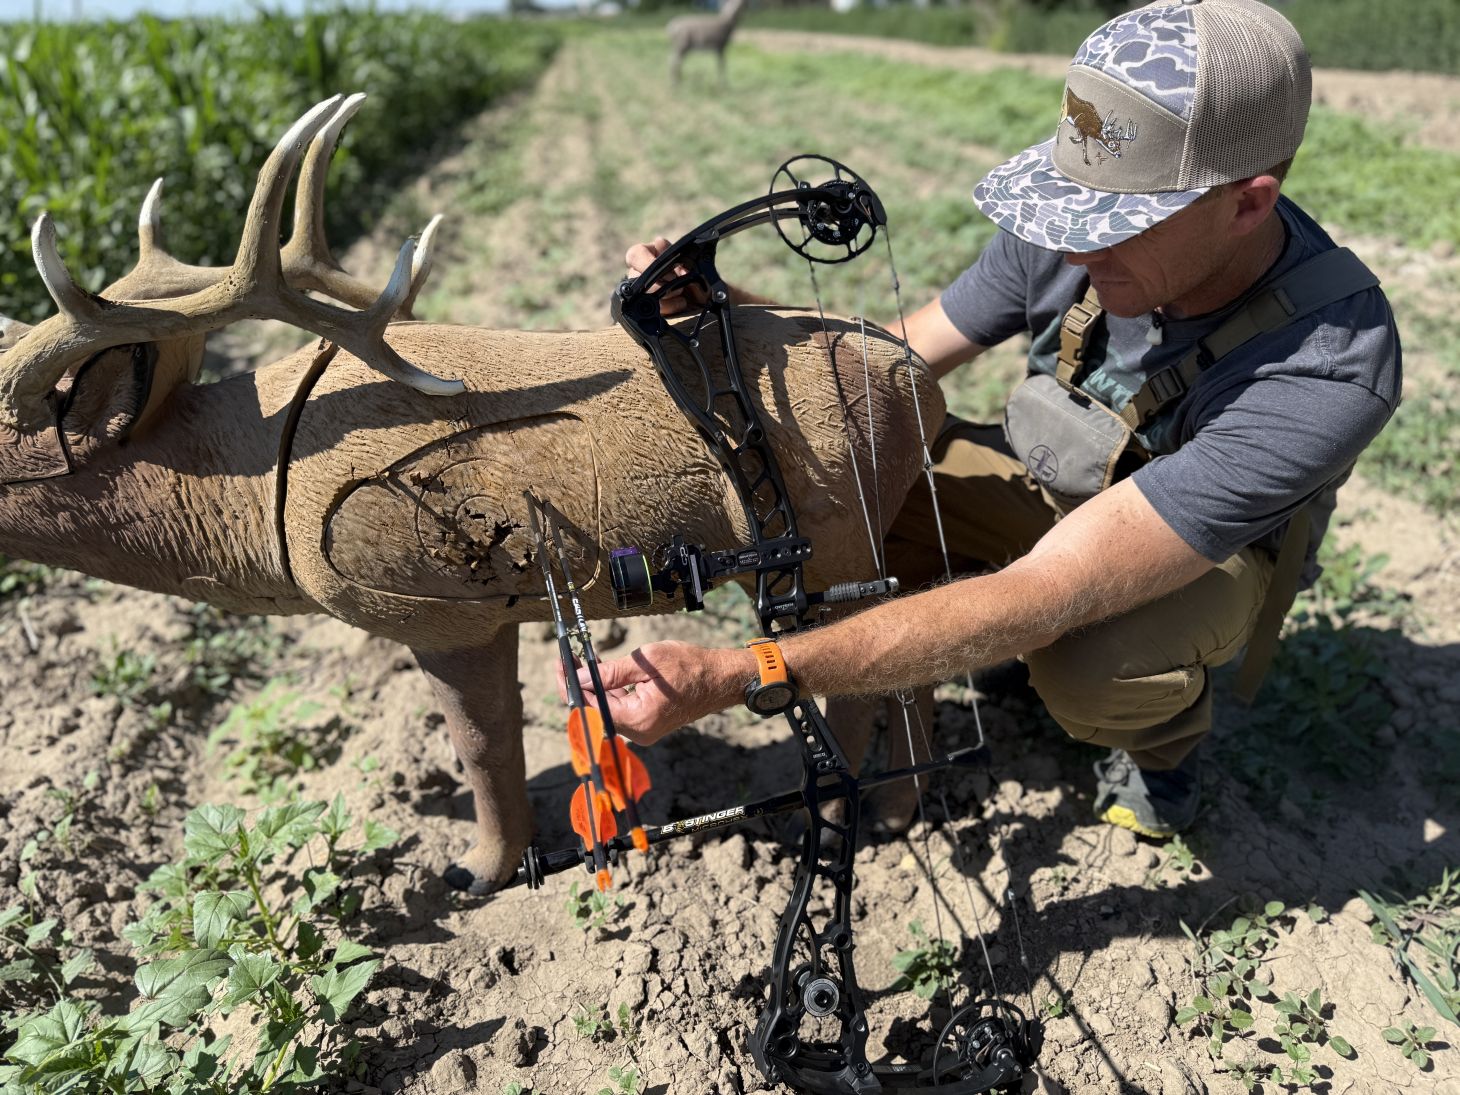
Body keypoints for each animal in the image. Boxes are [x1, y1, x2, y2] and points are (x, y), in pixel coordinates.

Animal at [0, 95, 943, 894]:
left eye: (5, 446)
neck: (261, 484)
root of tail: (921, 381)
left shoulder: (438, 609)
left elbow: (484, 745)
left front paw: (475, 871)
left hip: (838, 541)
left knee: (866, 684)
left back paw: (861, 818)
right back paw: (909, 808)